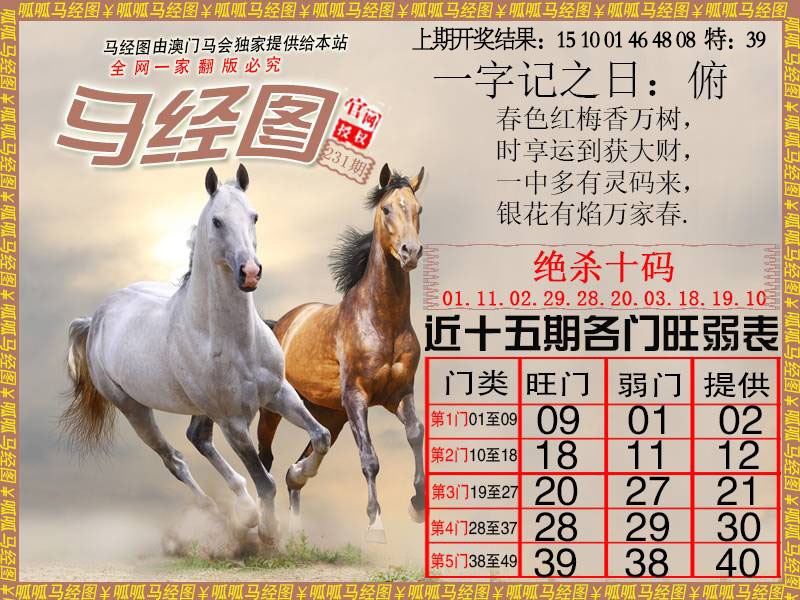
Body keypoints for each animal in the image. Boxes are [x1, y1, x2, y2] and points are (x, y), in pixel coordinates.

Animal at [63, 165, 331, 543]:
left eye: (254, 216)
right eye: (217, 221)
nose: (250, 272)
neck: (235, 341)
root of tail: (96, 317)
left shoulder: (278, 393)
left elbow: (320, 437)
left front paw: (298, 474)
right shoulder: (233, 421)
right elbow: (265, 480)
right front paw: (268, 531)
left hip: (200, 409)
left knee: (197, 438)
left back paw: (243, 509)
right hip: (134, 409)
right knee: (174, 459)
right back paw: (225, 515)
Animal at [256, 163, 425, 543]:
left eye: (418, 209)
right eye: (386, 209)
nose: (410, 252)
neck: (382, 321)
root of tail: (280, 324)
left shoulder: (399, 395)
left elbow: (415, 434)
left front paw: (417, 505)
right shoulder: (357, 397)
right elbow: (370, 458)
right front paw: (376, 524)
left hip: (329, 414)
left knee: (298, 466)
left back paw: (297, 510)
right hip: (275, 409)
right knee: (265, 458)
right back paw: (264, 524)